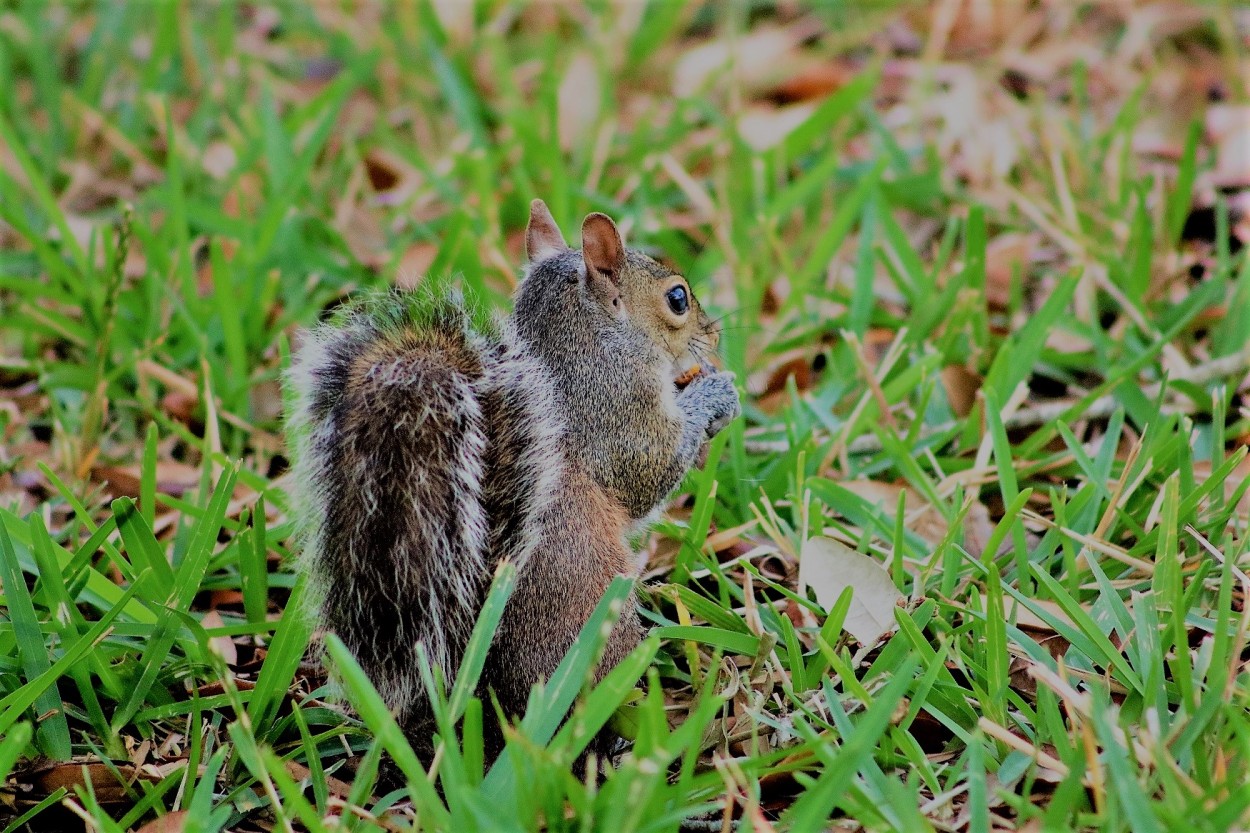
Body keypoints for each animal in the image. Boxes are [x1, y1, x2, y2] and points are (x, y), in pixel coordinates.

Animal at [286, 201, 735, 760]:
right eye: (677, 298)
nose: (714, 334)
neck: (588, 349)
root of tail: (484, 698)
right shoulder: (614, 415)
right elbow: (646, 476)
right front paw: (713, 396)